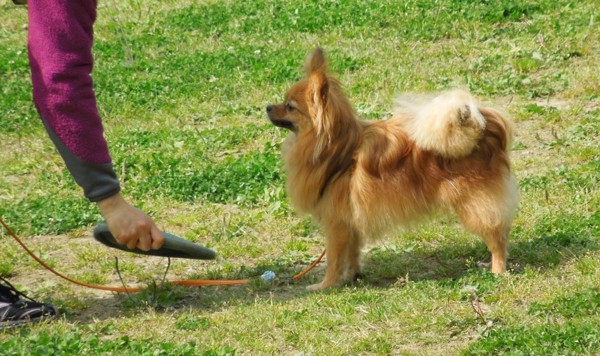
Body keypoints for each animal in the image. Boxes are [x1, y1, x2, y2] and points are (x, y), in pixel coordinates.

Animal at [264, 48, 516, 290]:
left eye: (289, 106)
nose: (267, 107)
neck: (339, 151)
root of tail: (486, 128)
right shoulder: (350, 219)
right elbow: (352, 254)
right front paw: (351, 277)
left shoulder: (336, 224)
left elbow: (333, 261)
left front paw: (324, 286)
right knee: (500, 232)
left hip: (474, 203)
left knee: (496, 236)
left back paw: (497, 270)